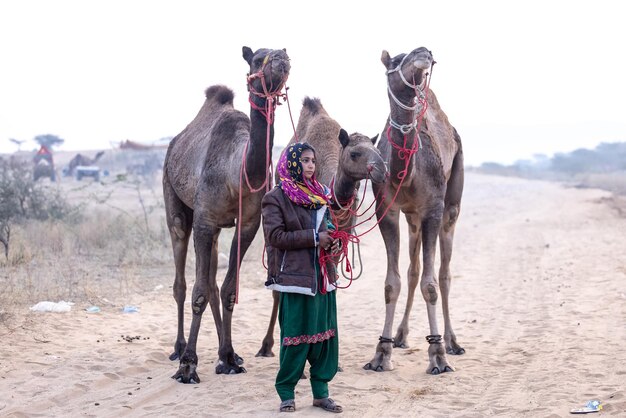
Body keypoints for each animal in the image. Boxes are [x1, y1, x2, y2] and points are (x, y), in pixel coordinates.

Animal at [160, 45, 288, 382]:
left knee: (214, 284)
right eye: (257, 58)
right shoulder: (204, 221)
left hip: (218, 229)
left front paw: (229, 357)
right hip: (175, 201)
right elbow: (198, 291)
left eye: (282, 51)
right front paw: (188, 365)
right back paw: (179, 348)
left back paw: (223, 352)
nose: (281, 59)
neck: (237, 172)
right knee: (181, 281)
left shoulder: (248, 224)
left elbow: (229, 289)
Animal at [254, 97, 386, 356]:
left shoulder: (341, 237)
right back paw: (266, 345)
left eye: (377, 150)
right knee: (276, 286)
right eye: (354, 153)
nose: (382, 169)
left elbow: (331, 278)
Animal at [360, 47, 464, 374]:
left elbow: (431, 284)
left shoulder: (433, 209)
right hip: (413, 219)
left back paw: (452, 342)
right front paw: (381, 352)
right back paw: (401, 336)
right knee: (413, 271)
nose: (424, 53)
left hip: (450, 208)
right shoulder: (388, 210)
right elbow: (392, 283)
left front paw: (438, 356)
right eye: (395, 60)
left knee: (443, 274)